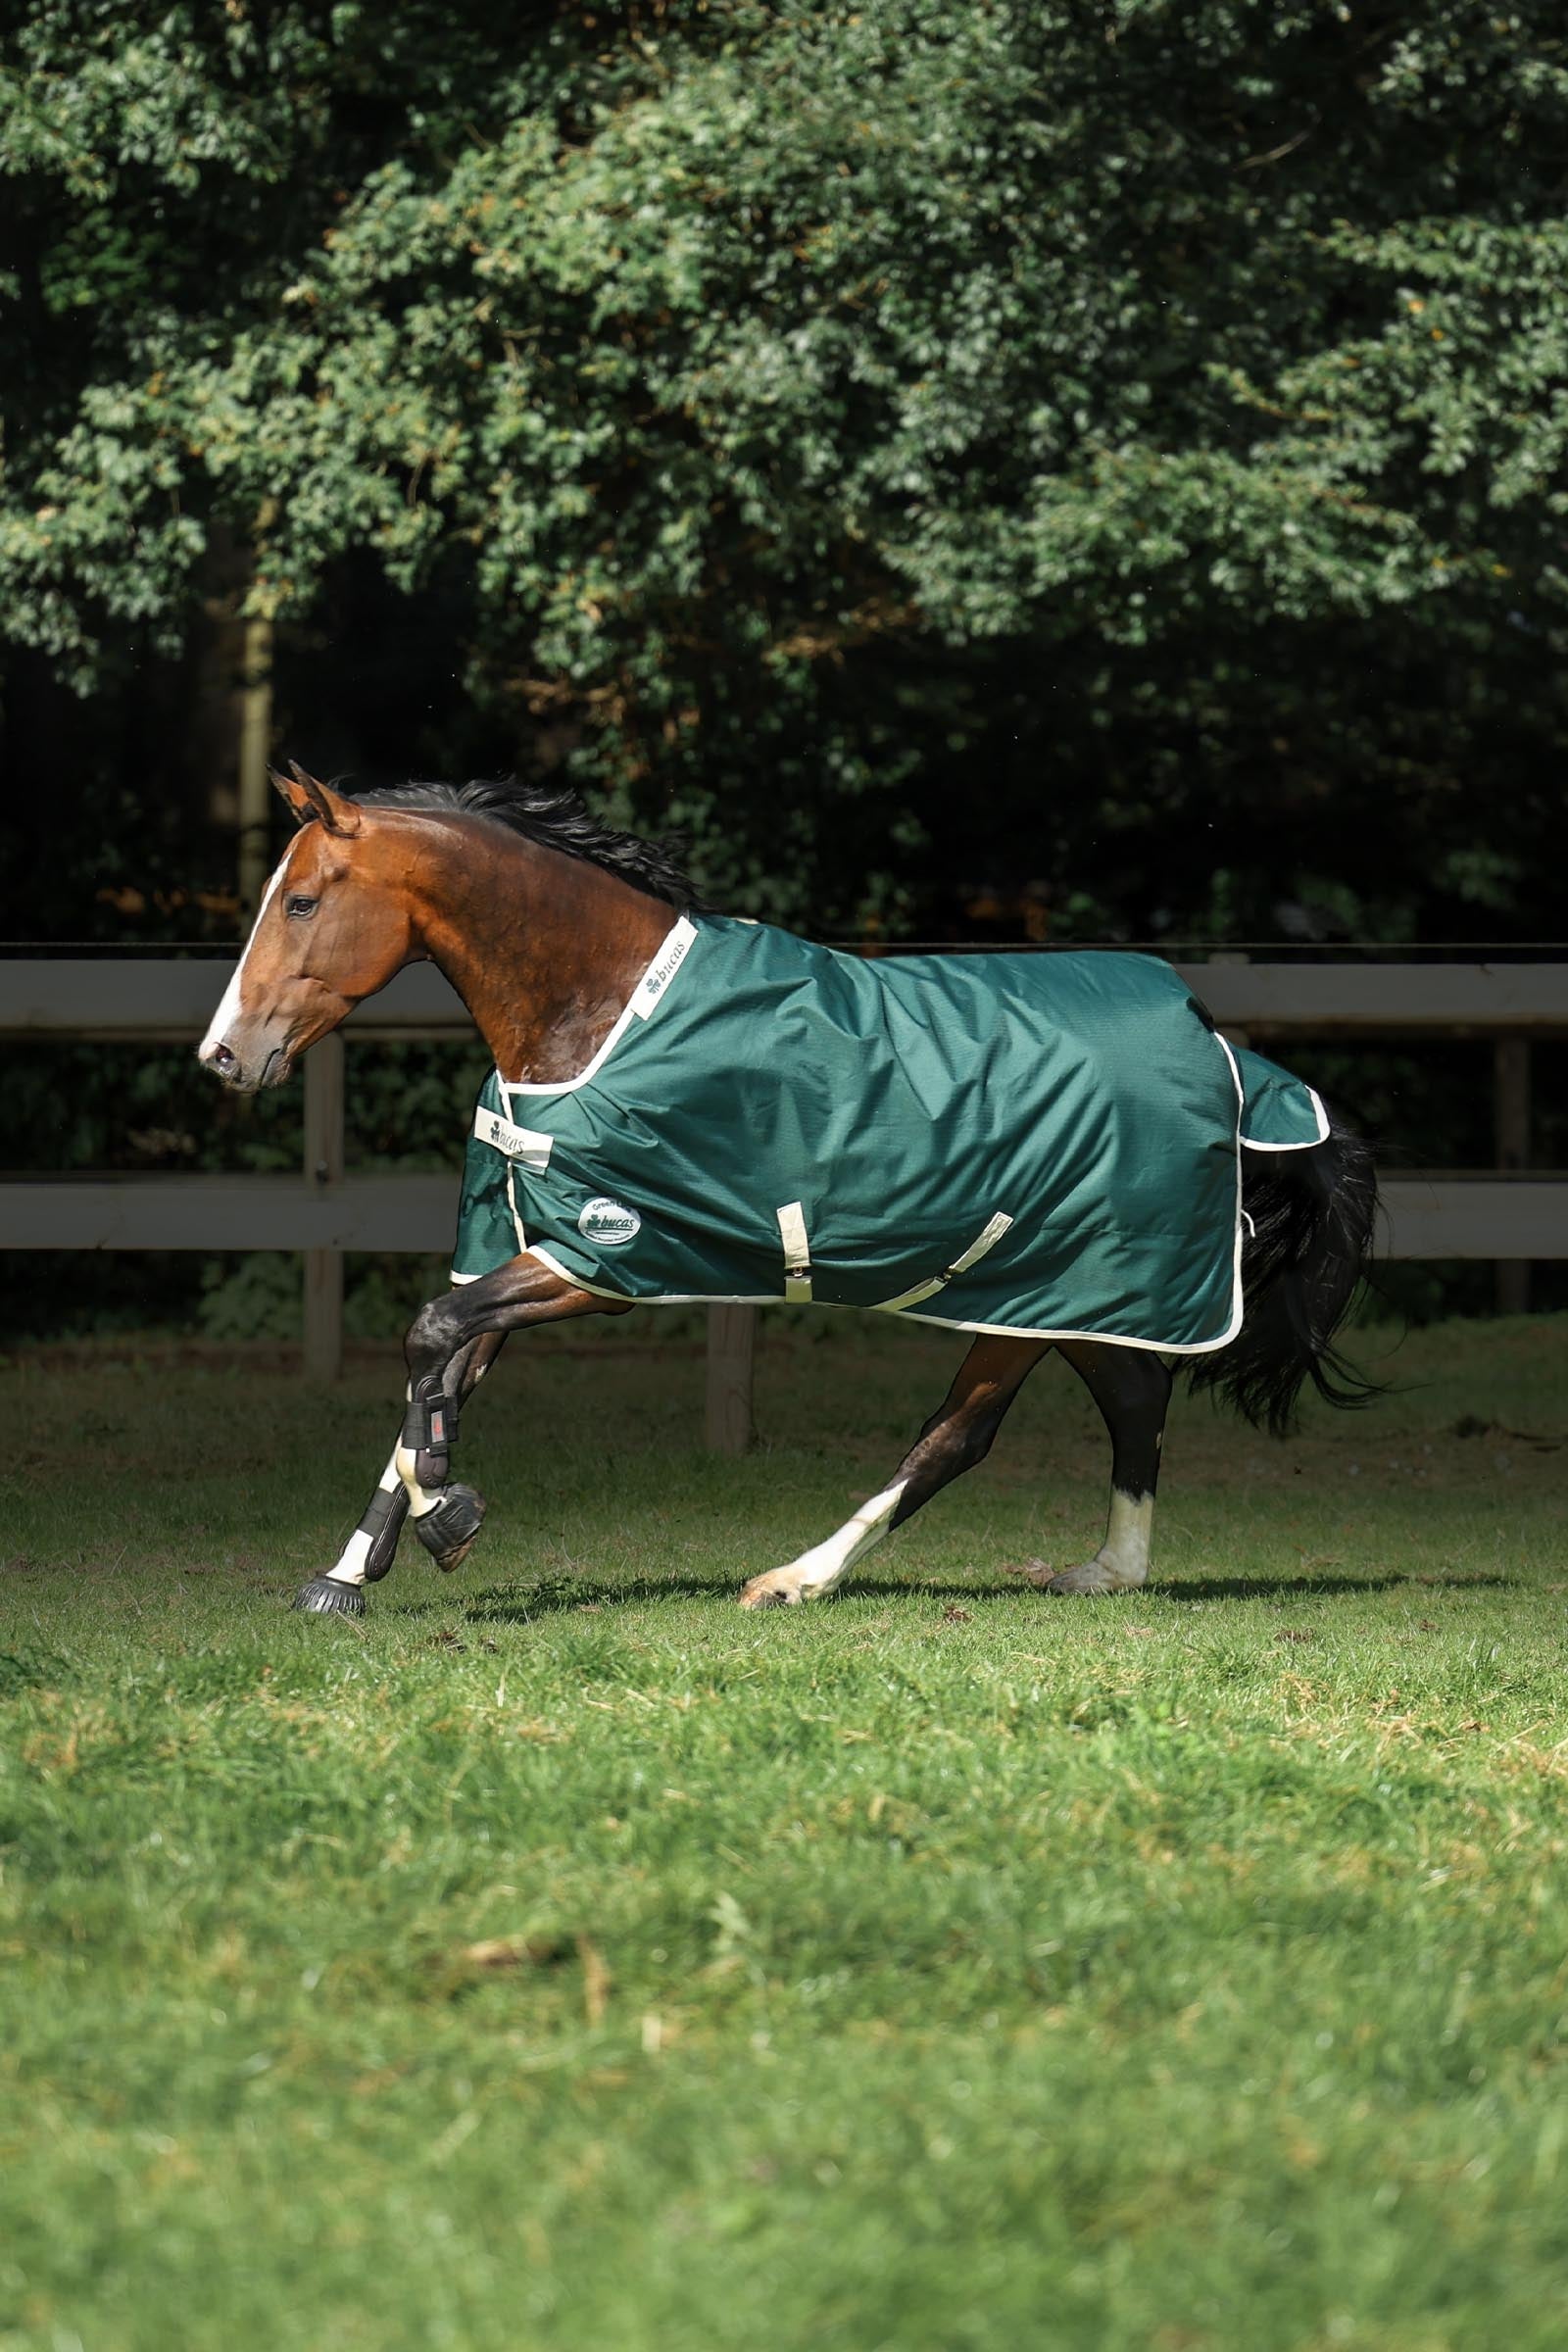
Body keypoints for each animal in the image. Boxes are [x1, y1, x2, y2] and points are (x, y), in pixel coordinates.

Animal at [199, 764, 1379, 1620]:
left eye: (301, 900)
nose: (224, 1056)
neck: (603, 1009)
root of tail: (1217, 1042)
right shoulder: (527, 1245)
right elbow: (440, 1365)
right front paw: (348, 1575)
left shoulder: (607, 1258)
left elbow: (430, 1334)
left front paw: (449, 1515)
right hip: (1078, 1295)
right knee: (1132, 1402)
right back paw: (1102, 1574)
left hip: (1039, 1288)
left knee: (959, 1435)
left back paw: (796, 1579)